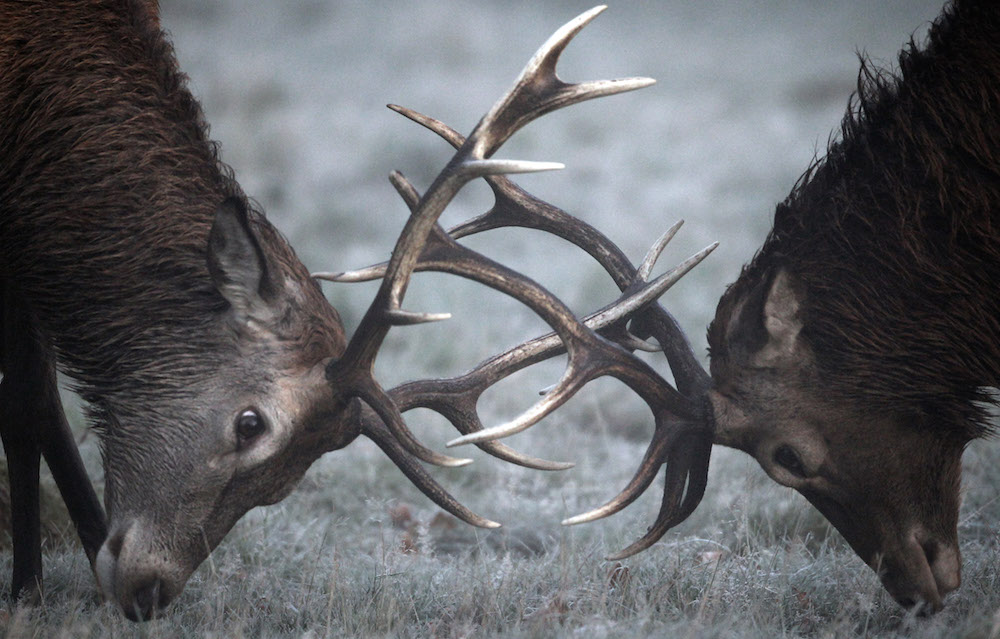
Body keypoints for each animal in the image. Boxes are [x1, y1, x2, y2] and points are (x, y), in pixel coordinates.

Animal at [0, 0, 712, 620]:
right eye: (250, 424)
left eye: (287, 484)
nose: (146, 593)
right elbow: (31, 402)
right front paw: (27, 591)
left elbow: (36, 404)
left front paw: (60, 566)